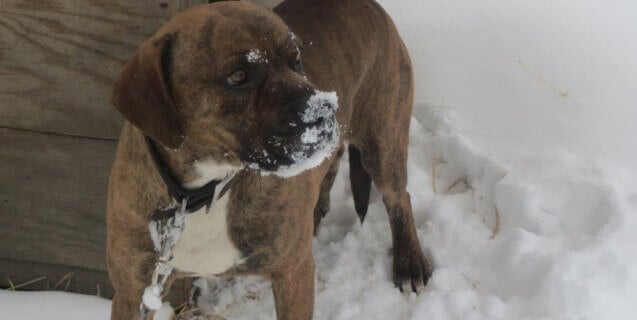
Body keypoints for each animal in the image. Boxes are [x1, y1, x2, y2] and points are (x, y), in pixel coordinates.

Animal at [108, 0, 432, 320]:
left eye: (296, 60)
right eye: (238, 76)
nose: (325, 112)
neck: (203, 191)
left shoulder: (293, 273)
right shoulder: (133, 289)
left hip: (384, 142)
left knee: (398, 196)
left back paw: (409, 263)